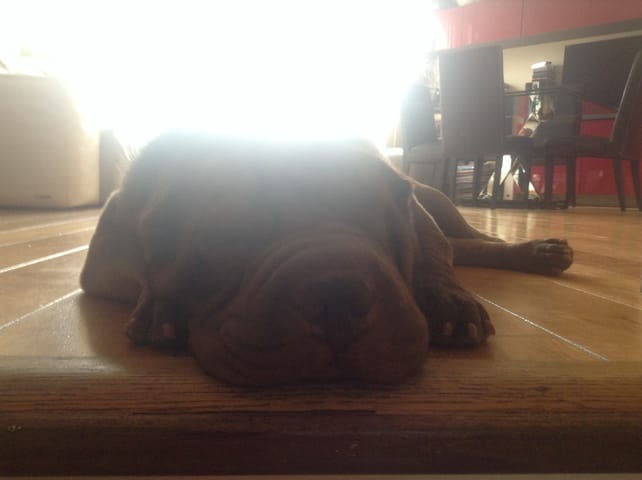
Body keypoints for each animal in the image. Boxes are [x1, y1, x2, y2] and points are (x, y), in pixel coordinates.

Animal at [80, 131, 573, 385]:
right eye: (232, 236)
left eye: (380, 226)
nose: (337, 295)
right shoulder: (106, 251)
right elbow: (143, 268)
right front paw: (161, 306)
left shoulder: (416, 213)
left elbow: (433, 258)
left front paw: (451, 304)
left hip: (438, 200)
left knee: (468, 240)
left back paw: (536, 252)